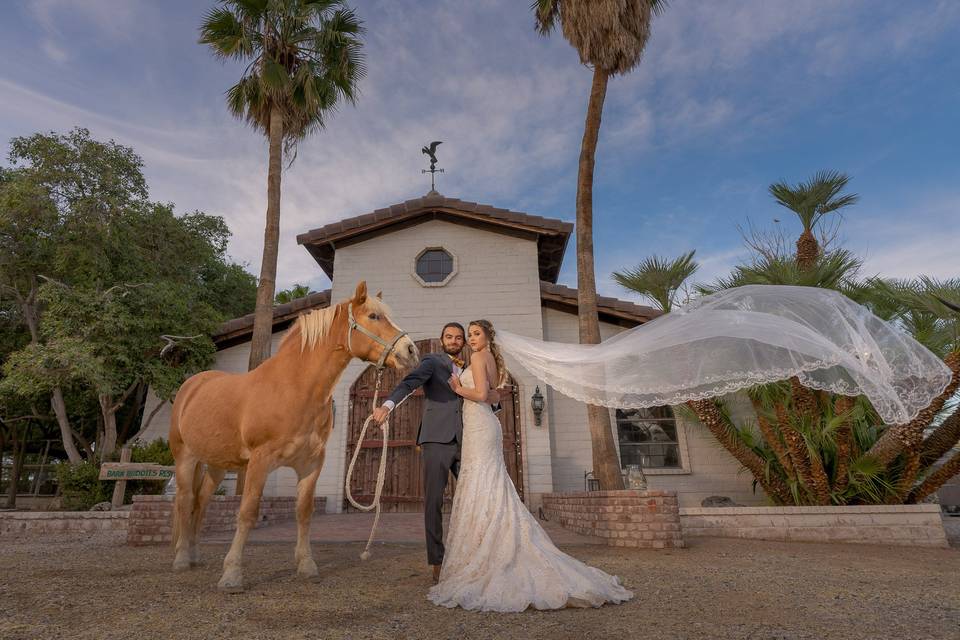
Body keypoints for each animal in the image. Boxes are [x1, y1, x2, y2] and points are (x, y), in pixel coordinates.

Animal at [171, 282, 418, 592]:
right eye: (374, 316)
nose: (411, 350)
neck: (293, 387)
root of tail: (192, 385)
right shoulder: (260, 461)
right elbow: (247, 513)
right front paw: (232, 574)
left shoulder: (311, 464)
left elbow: (304, 512)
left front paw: (306, 564)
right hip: (185, 457)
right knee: (184, 500)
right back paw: (182, 559)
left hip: (217, 464)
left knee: (201, 502)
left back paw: (195, 555)